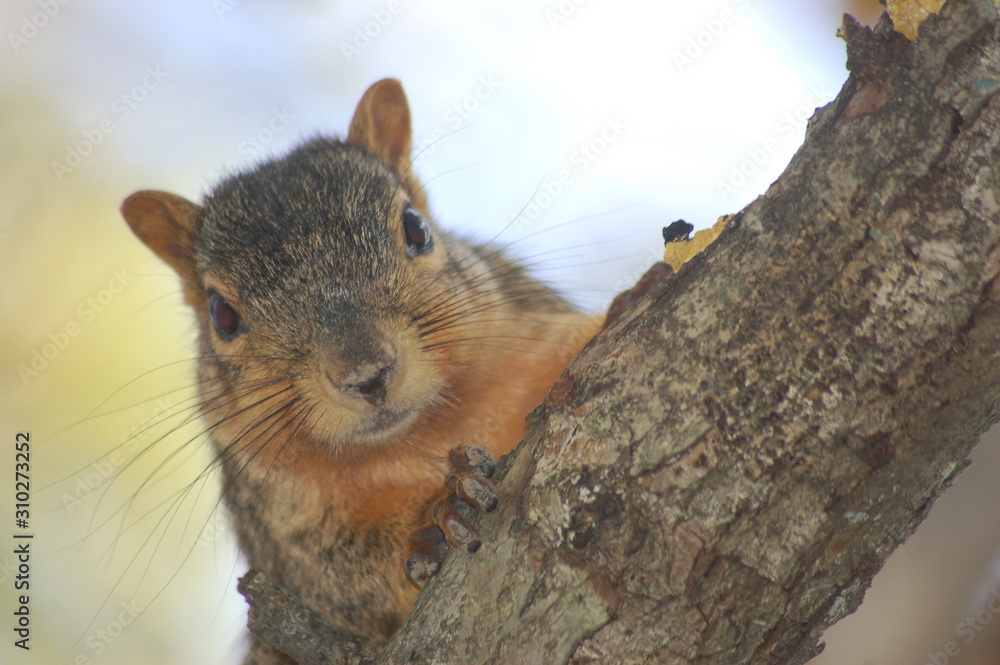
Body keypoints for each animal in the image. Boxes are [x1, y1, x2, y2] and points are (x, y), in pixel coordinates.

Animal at [120, 79, 658, 664]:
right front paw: (436, 516)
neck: (426, 431)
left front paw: (630, 300)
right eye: (221, 313)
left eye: (415, 228)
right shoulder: (279, 532)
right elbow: (343, 581)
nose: (367, 374)